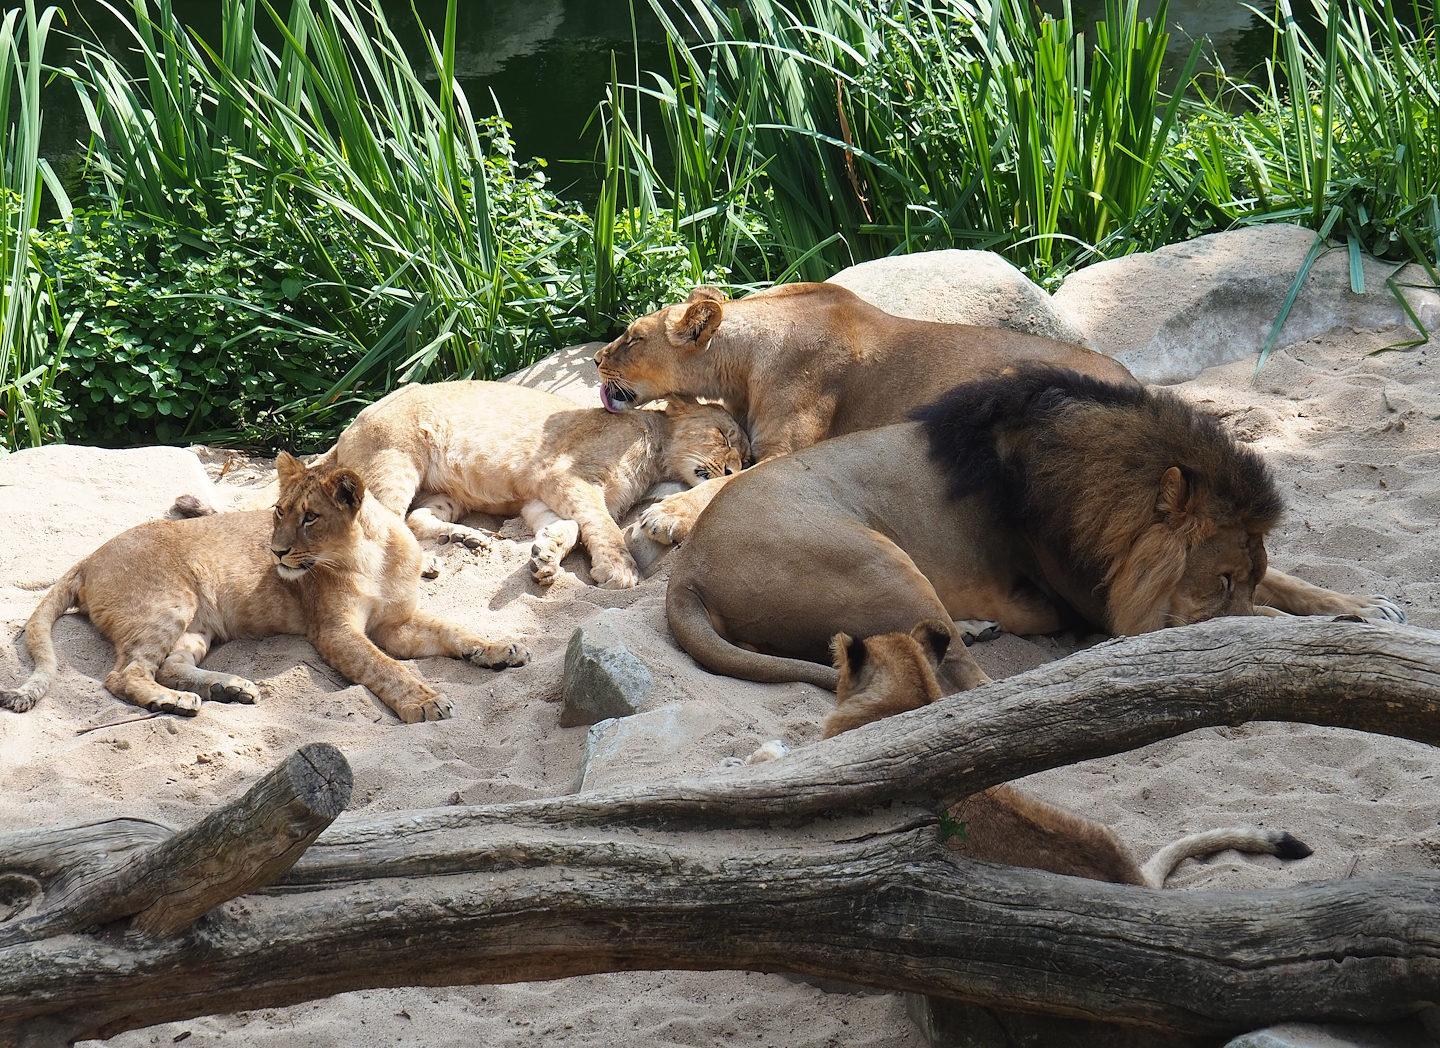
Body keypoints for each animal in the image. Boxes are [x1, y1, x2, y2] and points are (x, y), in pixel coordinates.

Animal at [1, 453, 528, 722]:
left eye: (310, 517)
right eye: (278, 511)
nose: (275, 553)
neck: (371, 556)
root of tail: (88, 558)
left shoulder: (397, 624)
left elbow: (453, 630)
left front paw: (501, 648)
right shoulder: (334, 631)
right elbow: (386, 667)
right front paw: (425, 702)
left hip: (197, 626)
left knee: (169, 664)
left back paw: (229, 688)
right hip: (169, 603)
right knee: (124, 674)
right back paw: (172, 702)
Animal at [219, 381, 748, 590]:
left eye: (746, 456)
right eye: (725, 437)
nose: (732, 470)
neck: (655, 448)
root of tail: (350, 425)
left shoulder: (542, 497)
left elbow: (571, 528)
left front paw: (545, 558)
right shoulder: (566, 476)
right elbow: (601, 524)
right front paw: (619, 569)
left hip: (442, 492)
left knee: (417, 517)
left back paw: (469, 539)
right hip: (395, 459)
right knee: (382, 522)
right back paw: (427, 562)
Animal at [593, 282, 1137, 547]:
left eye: (633, 337)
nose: (597, 358)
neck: (742, 363)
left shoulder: (785, 452)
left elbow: (725, 485)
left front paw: (667, 517)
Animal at [666, 366, 1405, 692]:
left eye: (1245, 574)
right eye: (1220, 580)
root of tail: (687, 571)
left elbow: (1294, 585)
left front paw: (1365, 607)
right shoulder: (1102, 599)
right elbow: (1249, 623)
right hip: (880, 561)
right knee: (966, 685)